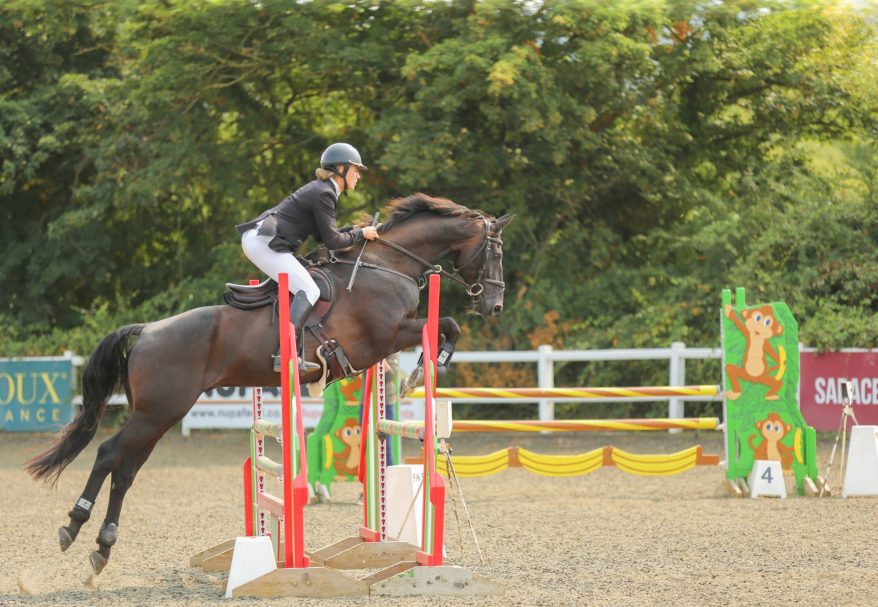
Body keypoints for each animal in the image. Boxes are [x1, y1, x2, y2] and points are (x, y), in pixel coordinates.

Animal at [25, 194, 516, 576]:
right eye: (494, 252)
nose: (493, 306)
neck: (386, 265)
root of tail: (146, 330)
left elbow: (447, 326)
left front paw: (421, 369)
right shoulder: (386, 336)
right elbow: (447, 325)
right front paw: (426, 368)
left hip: (159, 414)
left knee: (126, 469)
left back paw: (102, 546)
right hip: (158, 411)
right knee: (110, 455)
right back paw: (73, 526)